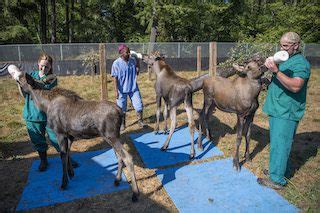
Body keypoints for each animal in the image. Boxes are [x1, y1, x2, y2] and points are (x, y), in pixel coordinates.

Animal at [11, 69, 139, 202]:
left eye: (20, 80)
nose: (16, 75)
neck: (44, 105)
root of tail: (121, 112)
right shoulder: (70, 136)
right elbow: (68, 153)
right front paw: (71, 173)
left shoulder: (60, 133)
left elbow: (62, 155)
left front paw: (64, 182)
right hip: (113, 137)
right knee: (119, 157)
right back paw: (117, 180)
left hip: (111, 136)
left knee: (127, 157)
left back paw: (135, 193)